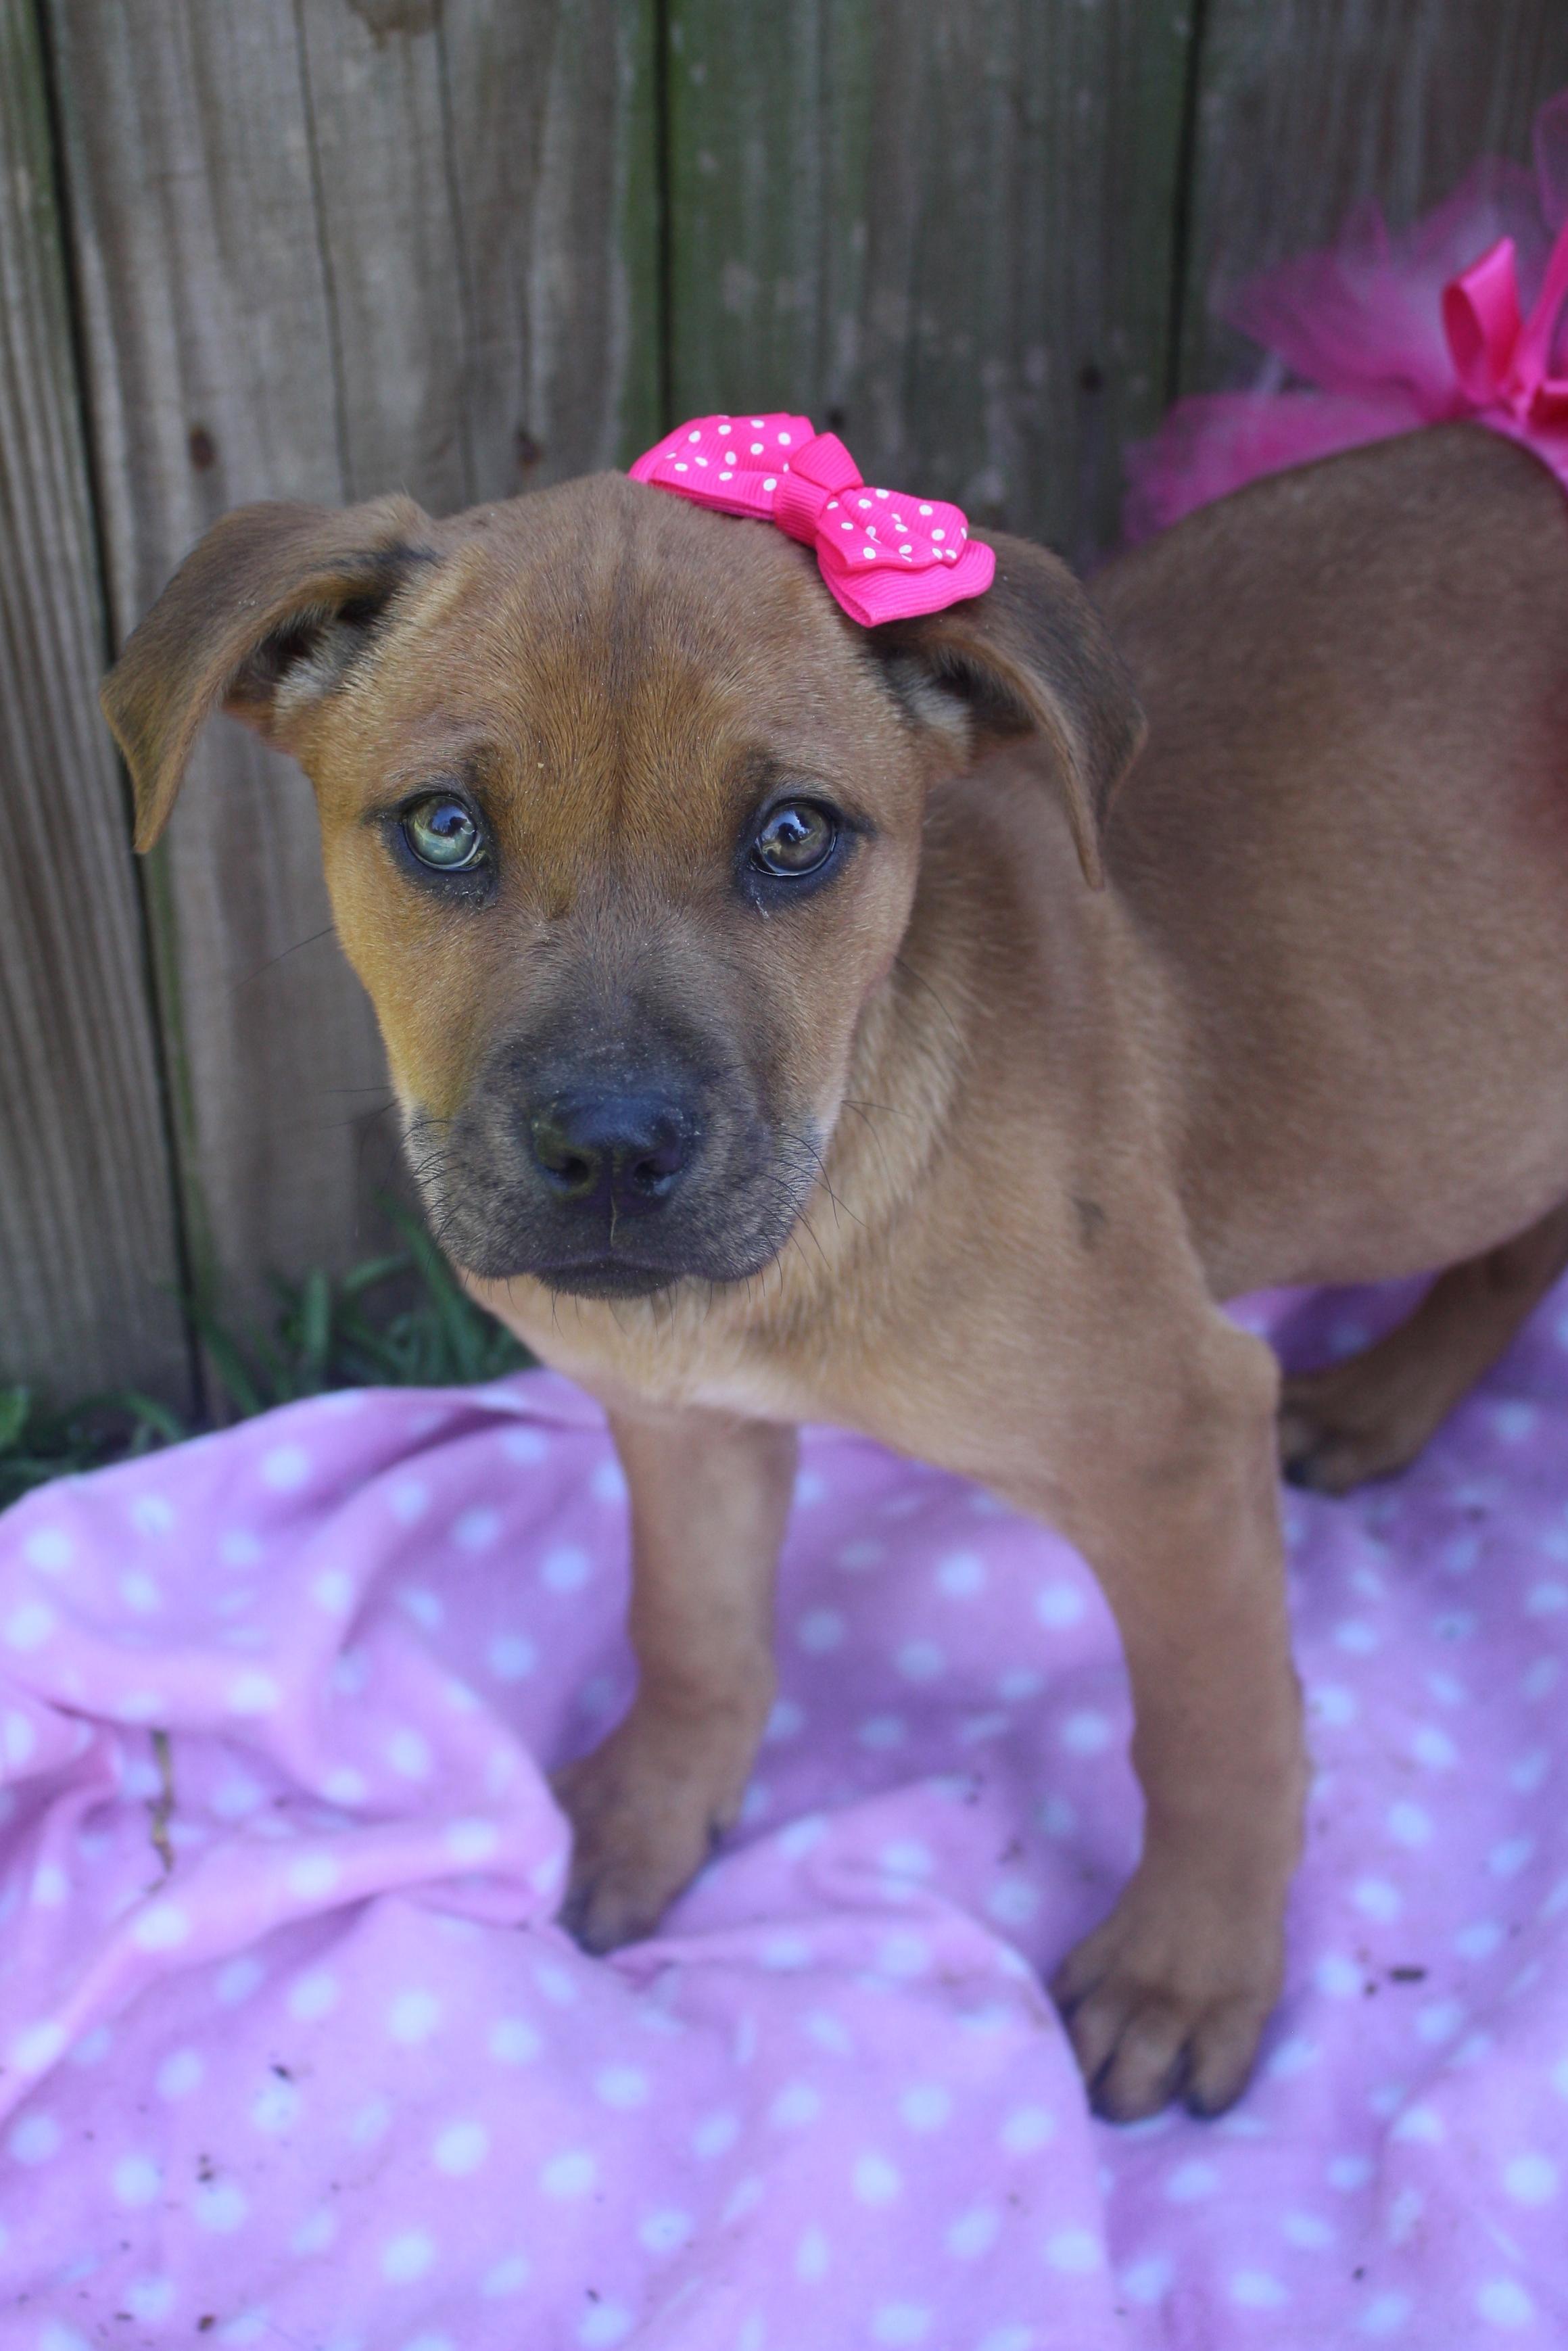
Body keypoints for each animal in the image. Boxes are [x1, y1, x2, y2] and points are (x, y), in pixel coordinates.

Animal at [103, 427, 1568, 2135]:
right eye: (443, 829)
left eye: (795, 837)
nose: (613, 1148)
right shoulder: (681, 1420)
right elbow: (691, 1627)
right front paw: (652, 1812)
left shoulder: (1174, 1440)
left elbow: (1216, 1730)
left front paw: (1182, 1967)